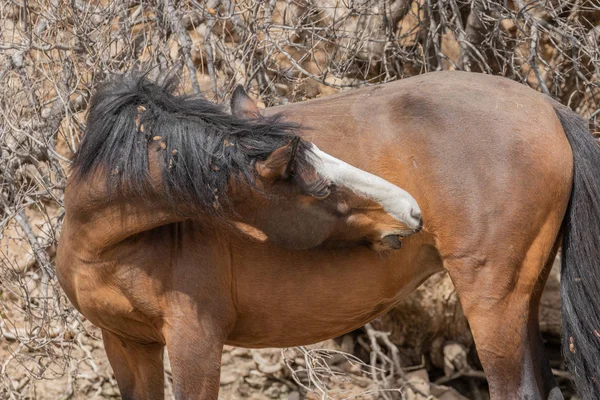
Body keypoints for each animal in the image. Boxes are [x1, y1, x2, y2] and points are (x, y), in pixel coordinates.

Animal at [56, 72, 600, 400]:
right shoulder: (126, 342)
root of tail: (545, 106)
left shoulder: (195, 341)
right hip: (521, 296)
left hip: (493, 301)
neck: (108, 246)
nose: (411, 210)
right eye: (319, 185)